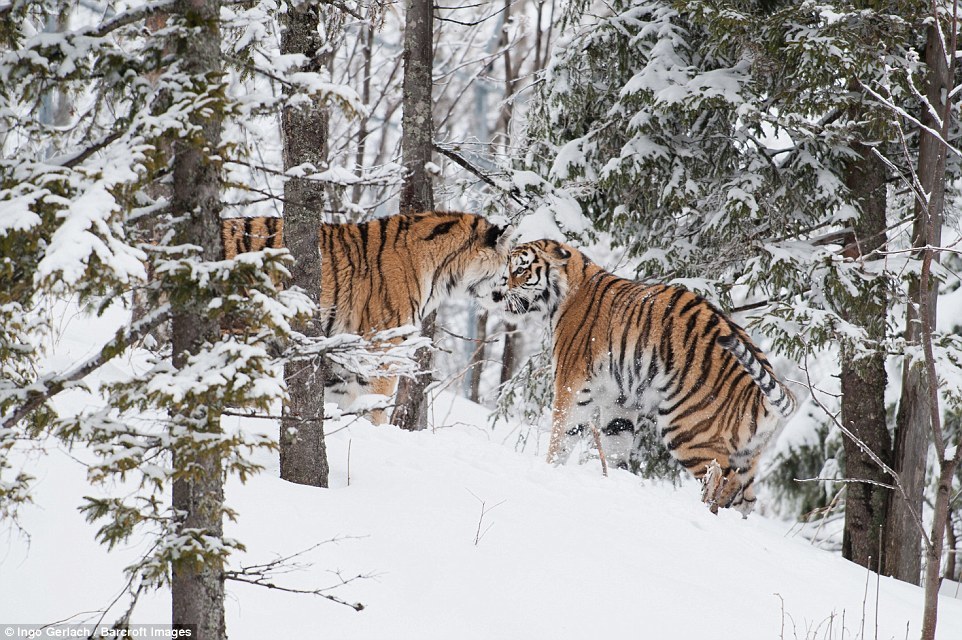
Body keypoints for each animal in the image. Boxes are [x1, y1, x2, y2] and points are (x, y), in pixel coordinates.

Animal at [221, 210, 512, 422]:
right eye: (510, 262)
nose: (513, 287)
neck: (444, 271)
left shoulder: (340, 362)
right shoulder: (382, 351)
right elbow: (375, 407)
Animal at [496, 240, 796, 516]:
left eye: (520, 269)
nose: (497, 293)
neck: (564, 293)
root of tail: (761, 392)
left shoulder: (570, 384)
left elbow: (561, 436)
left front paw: (550, 469)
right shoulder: (619, 401)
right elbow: (614, 445)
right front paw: (609, 477)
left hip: (687, 430)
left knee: (724, 481)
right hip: (748, 454)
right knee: (747, 499)